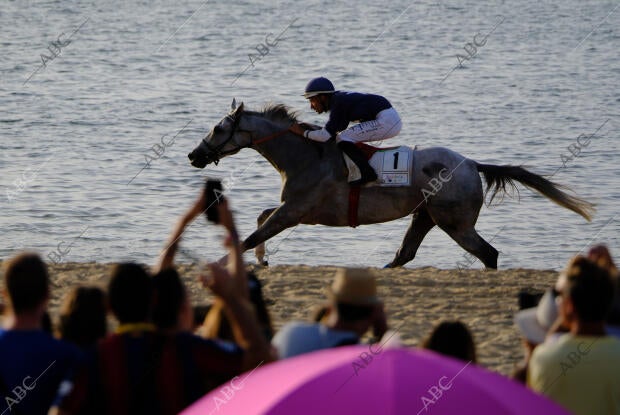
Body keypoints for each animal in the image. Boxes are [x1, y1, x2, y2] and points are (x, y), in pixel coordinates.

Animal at [189, 101, 596, 270]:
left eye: (219, 128)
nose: (194, 155)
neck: (305, 155)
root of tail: (471, 164)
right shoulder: (296, 210)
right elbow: (260, 219)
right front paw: (262, 260)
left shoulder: (297, 211)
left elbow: (252, 234)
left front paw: (227, 263)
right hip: (426, 216)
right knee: (406, 254)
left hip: (454, 223)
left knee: (488, 254)